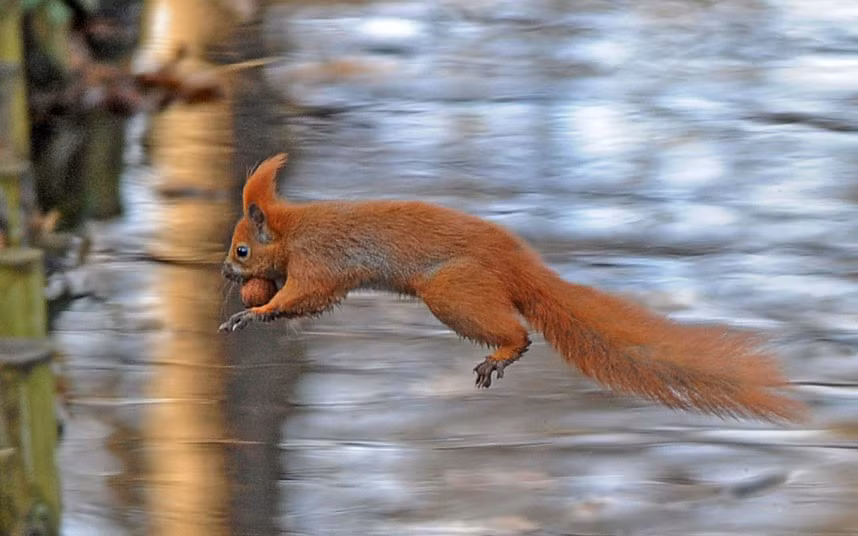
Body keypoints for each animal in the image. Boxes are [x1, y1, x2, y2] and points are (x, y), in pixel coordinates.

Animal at [219, 153, 806, 422]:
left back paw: (504, 352)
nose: (225, 272)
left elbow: (304, 296)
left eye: (242, 250)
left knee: (516, 330)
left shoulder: (320, 263)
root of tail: (518, 267)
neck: (295, 230)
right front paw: (253, 306)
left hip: (453, 290)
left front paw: (252, 312)